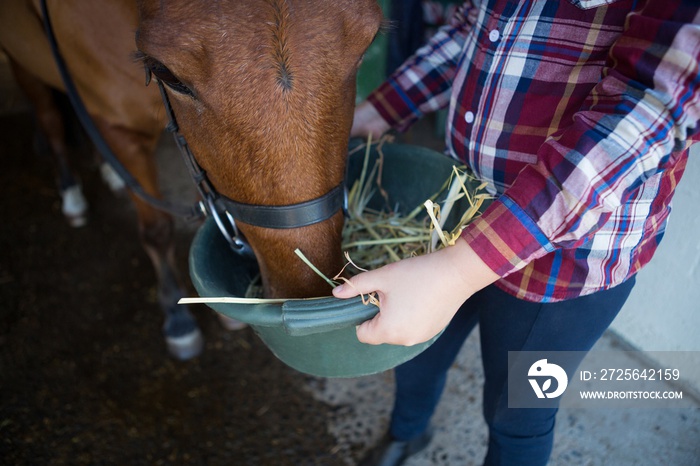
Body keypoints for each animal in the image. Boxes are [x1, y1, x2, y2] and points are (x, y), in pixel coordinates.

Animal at [0, 0, 382, 358]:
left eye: (369, 43)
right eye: (164, 73)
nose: (306, 289)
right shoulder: (119, 129)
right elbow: (156, 230)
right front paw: (177, 316)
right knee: (49, 119)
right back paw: (72, 193)